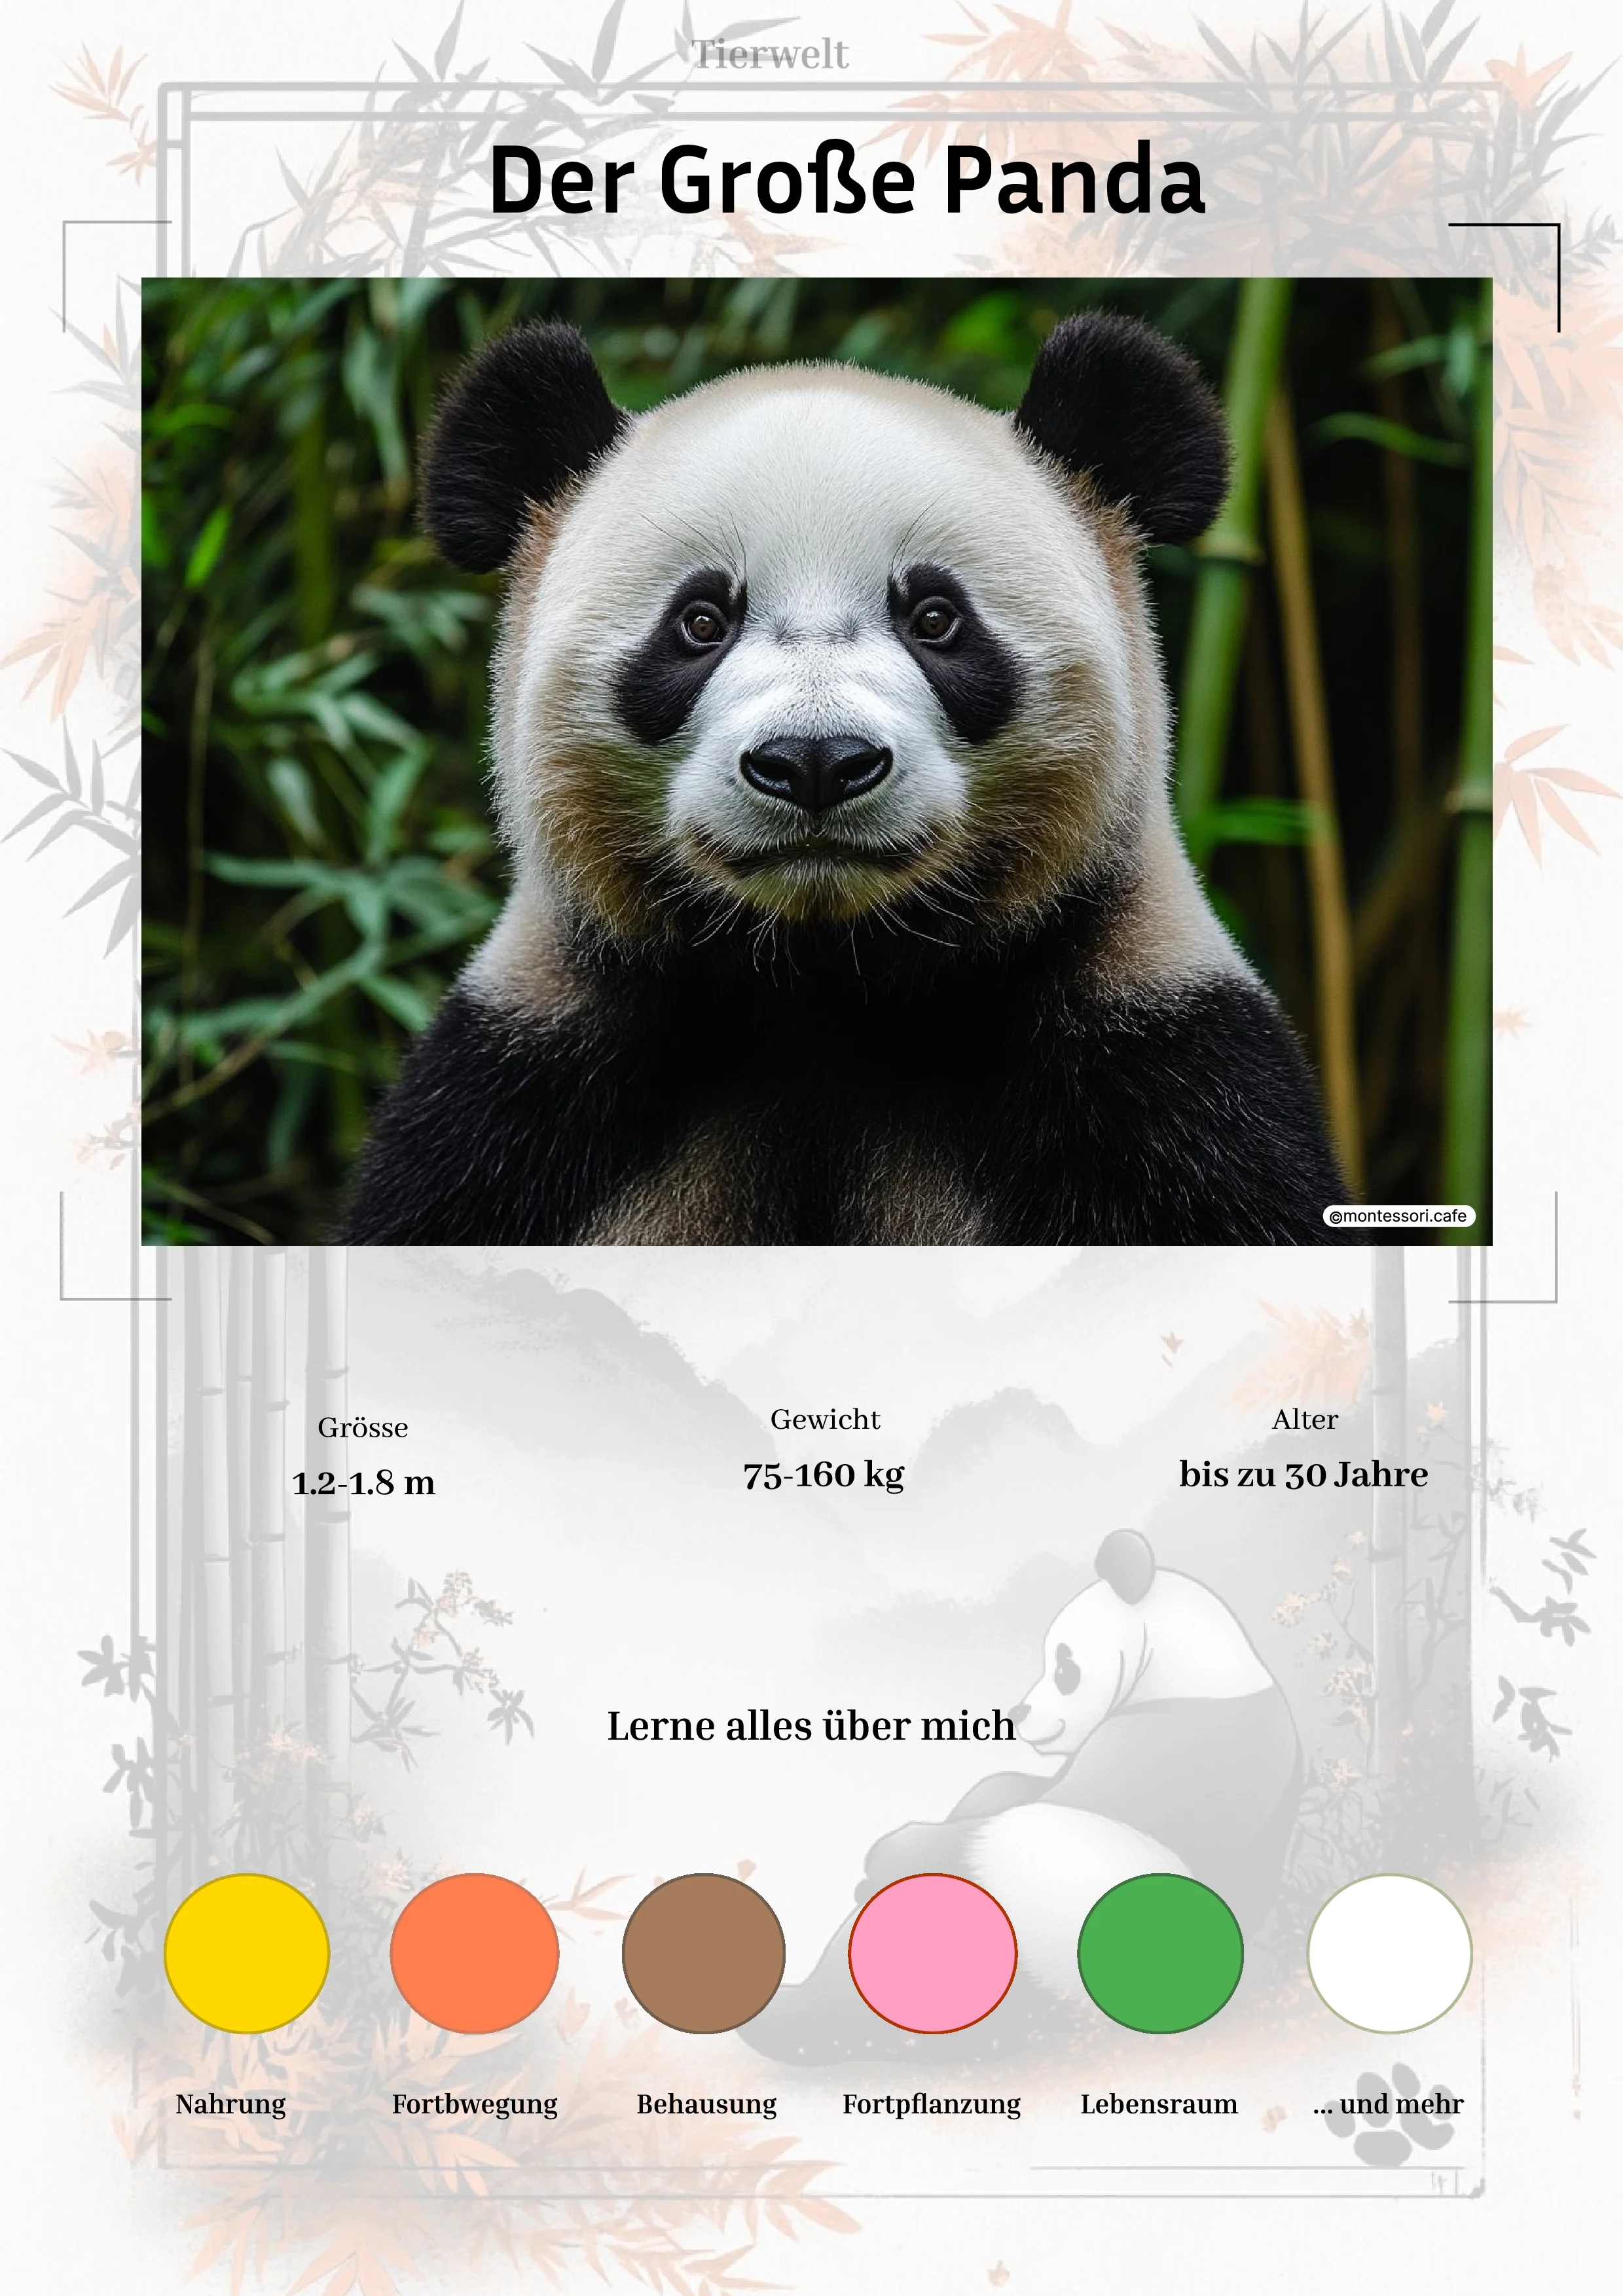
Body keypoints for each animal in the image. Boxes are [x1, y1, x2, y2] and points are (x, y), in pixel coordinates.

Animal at [338, 314, 1349, 1245]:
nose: (816, 762)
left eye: (936, 617)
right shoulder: (522, 1102)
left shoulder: (1157, 1073)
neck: (825, 981)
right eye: (699, 622)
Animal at [743, 1532, 1302, 2063]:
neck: (1192, 1669)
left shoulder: (1165, 1750)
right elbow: (1008, 1789)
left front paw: (885, 1854)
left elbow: (1063, 1800)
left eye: (1065, 1669)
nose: (1017, 1713)